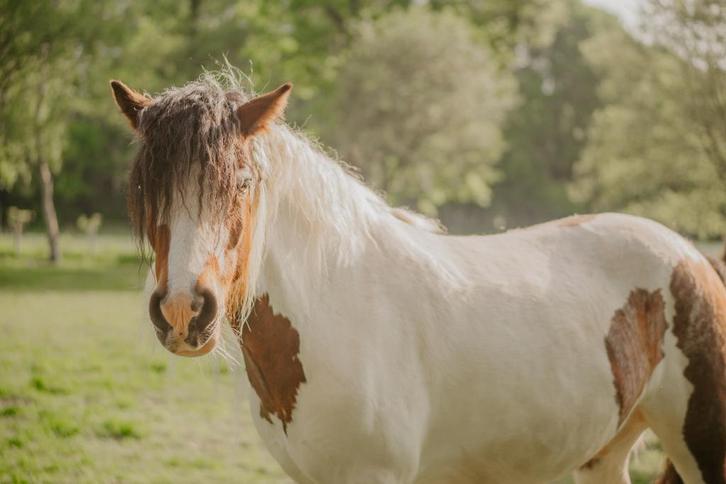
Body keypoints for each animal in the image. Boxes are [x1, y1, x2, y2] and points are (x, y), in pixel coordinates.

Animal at [111, 72, 725, 484]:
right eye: (145, 189)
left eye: (241, 182)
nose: (184, 311)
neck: (336, 312)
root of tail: (691, 257)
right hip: (604, 454)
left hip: (701, 446)